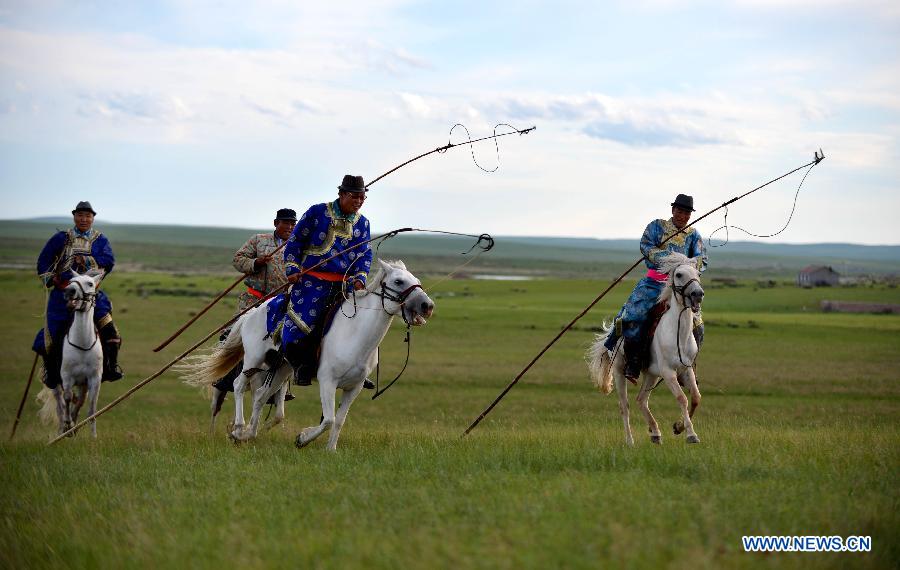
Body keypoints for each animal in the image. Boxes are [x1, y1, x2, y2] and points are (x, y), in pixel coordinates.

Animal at [36, 268, 103, 438]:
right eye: (71, 281)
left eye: (90, 283)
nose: (69, 291)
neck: (82, 343)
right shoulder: (66, 376)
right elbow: (66, 398)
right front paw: (68, 424)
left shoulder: (94, 378)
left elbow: (92, 407)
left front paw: (93, 436)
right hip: (55, 381)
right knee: (60, 403)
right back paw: (64, 428)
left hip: (82, 384)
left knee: (79, 401)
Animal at [179, 258, 432, 448]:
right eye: (398, 281)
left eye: (418, 281)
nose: (427, 306)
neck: (355, 334)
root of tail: (253, 312)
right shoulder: (327, 381)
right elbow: (328, 419)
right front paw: (302, 439)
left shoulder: (354, 387)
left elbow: (339, 421)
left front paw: (330, 450)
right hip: (254, 360)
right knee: (239, 385)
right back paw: (239, 428)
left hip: (281, 368)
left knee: (260, 395)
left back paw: (249, 433)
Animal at [588, 252, 708, 444]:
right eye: (679, 274)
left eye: (697, 274)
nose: (698, 294)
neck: (678, 334)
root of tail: (612, 331)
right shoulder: (668, 372)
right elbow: (682, 398)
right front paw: (691, 435)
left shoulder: (686, 369)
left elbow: (696, 398)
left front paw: (678, 427)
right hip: (619, 371)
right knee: (624, 405)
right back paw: (630, 441)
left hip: (651, 374)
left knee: (641, 400)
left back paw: (655, 433)